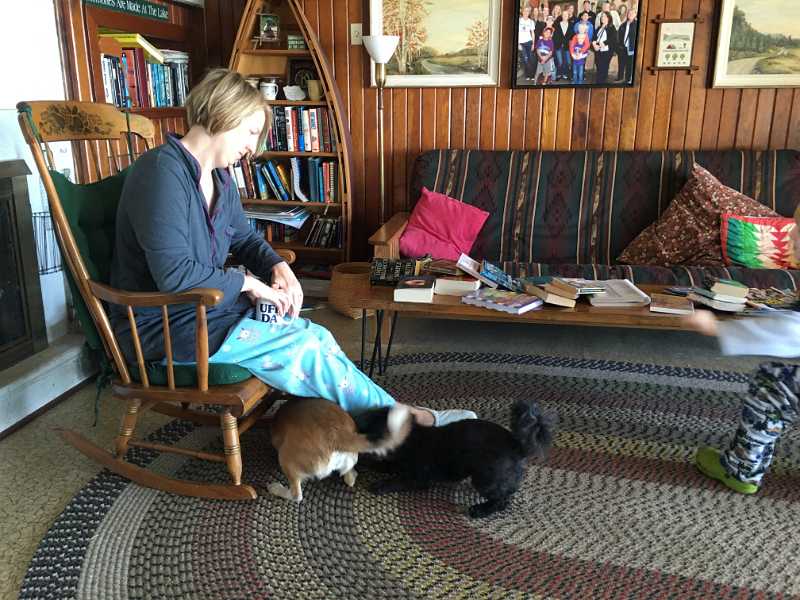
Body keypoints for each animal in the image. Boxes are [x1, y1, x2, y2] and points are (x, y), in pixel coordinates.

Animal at [267, 398, 412, 503]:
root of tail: (338, 435)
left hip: (285, 459)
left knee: (296, 495)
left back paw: (275, 488)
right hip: (350, 457)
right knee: (350, 473)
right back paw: (351, 476)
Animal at [355, 399, 555, 518]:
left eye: (374, 433)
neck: (410, 438)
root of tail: (517, 444)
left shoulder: (418, 478)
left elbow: (398, 480)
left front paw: (380, 485)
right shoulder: (394, 464)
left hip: (485, 478)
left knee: (501, 501)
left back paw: (480, 510)